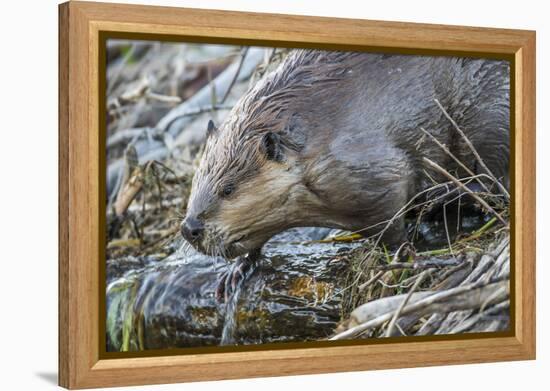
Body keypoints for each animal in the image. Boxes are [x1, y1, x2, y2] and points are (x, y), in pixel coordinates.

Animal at [182, 49, 512, 300]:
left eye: (228, 189)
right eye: (196, 182)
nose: (190, 229)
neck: (314, 134)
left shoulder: (366, 165)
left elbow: (392, 210)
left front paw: (400, 256)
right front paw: (234, 274)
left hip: (488, 113)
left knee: (492, 182)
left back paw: (440, 198)